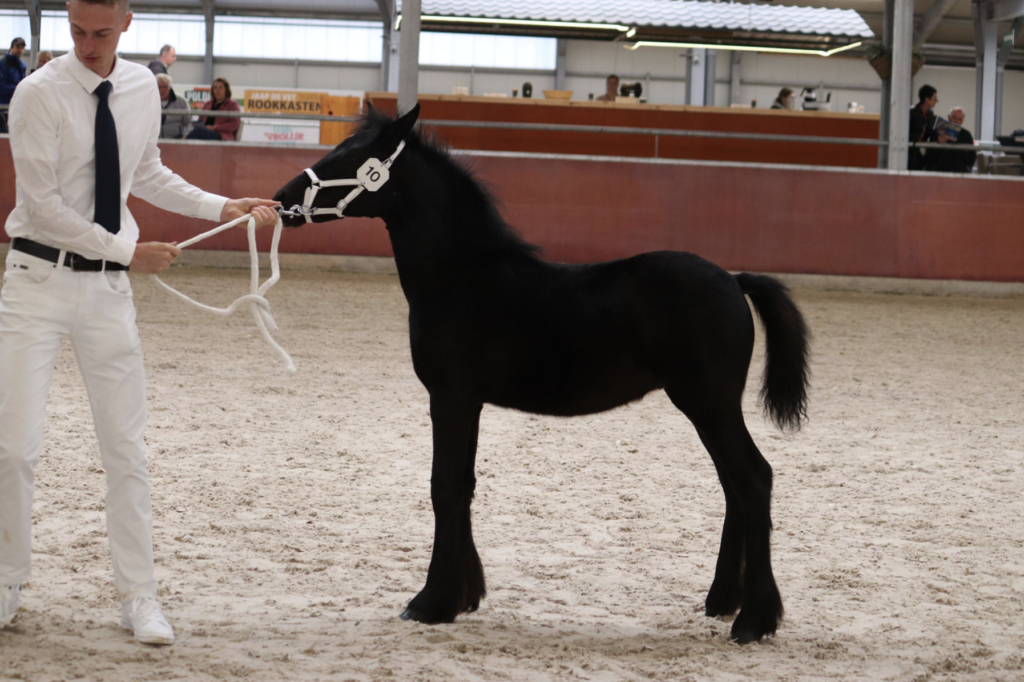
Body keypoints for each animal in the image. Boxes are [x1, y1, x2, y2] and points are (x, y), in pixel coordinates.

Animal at [273, 104, 810, 643]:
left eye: (351, 157)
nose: (280, 201)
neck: (461, 279)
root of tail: (733, 280)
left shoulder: (449, 397)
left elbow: (443, 486)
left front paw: (430, 601)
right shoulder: (469, 403)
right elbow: (463, 485)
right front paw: (464, 595)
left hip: (708, 403)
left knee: (753, 479)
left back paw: (754, 619)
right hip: (709, 407)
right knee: (733, 487)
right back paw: (721, 600)